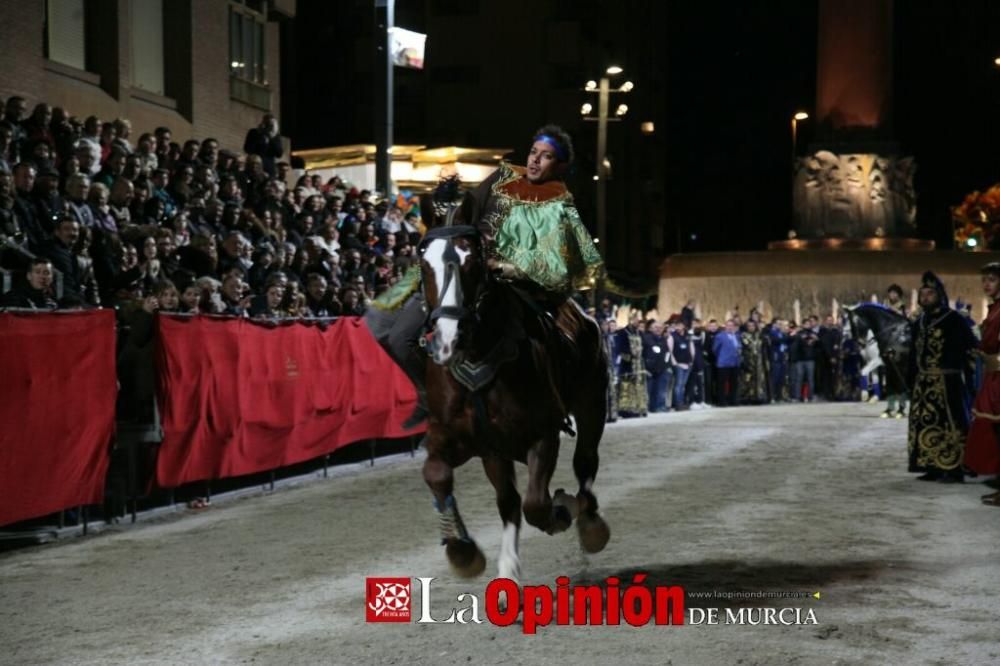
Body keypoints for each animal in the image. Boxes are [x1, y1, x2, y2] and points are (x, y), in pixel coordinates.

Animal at [414, 198, 608, 588]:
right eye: (424, 263)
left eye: (473, 261)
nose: (447, 338)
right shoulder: (456, 437)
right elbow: (436, 474)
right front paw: (462, 551)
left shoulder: (543, 433)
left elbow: (537, 504)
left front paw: (561, 510)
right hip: (496, 452)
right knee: (508, 501)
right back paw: (507, 570)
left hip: (593, 403)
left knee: (584, 465)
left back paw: (586, 520)